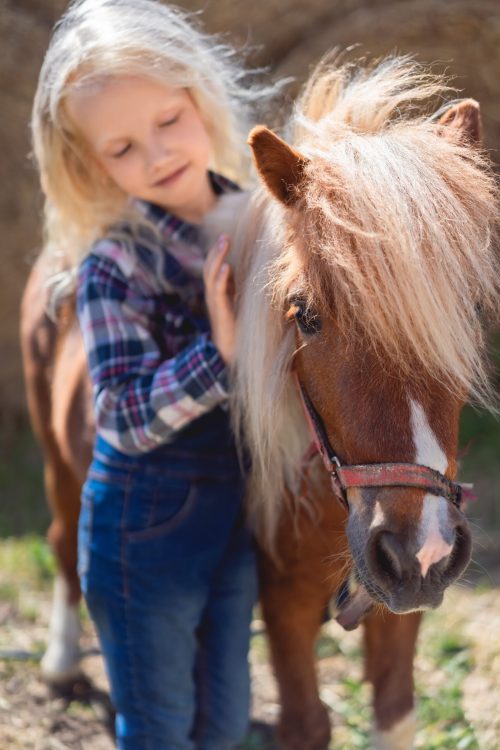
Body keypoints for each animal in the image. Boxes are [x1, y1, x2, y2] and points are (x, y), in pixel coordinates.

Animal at [20, 58, 500, 750]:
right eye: (306, 316)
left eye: (469, 313)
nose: (421, 548)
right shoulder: (283, 601)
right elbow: (305, 723)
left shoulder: (398, 605)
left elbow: (393, 711)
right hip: (57, 458)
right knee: (62, 541)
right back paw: (60, 667)